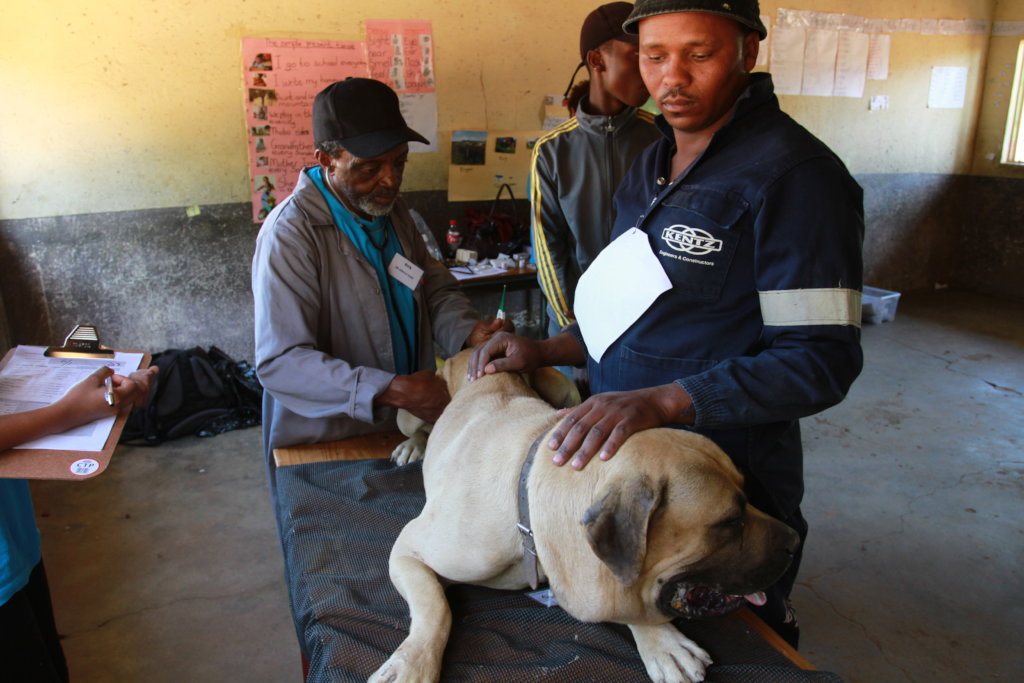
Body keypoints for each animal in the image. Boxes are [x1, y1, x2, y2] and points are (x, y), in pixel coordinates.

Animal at [374, 352, 798, 683]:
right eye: (729, 521)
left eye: (748, 496)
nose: (795, 542)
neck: (526, 507)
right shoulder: (408, 550)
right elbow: (435, 607)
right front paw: (413, 662)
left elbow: (625, 596)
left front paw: (659, 640)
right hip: (411, 408)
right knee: (419, 427)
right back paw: (414, 446)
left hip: (566, 388)